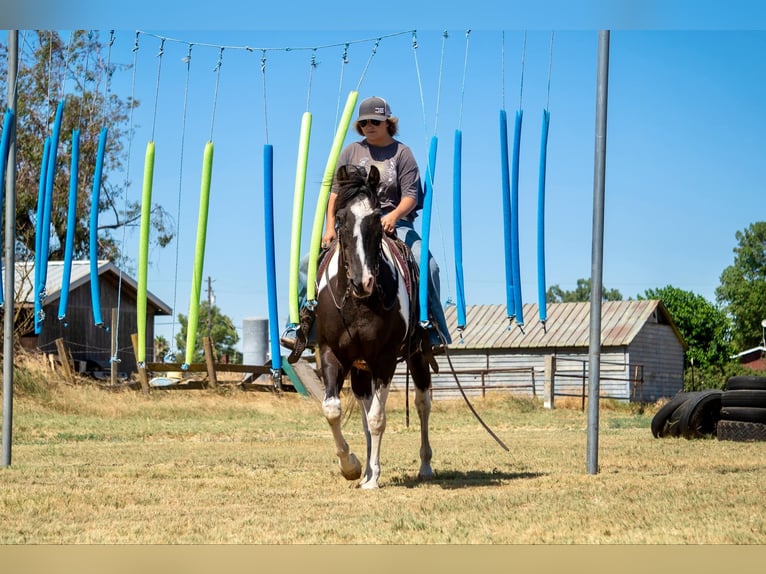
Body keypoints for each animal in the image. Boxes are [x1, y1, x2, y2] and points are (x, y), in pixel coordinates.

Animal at [314, 164, 434, 489]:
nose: (362, 281)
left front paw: (371, 479)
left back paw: (425, 465)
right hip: (359, 367)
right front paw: (353, 467)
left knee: (422, 403)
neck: (358, 303)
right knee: (365, 411)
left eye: (377, 220)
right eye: (340, 220)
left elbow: (378, 419)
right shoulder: (330, 353)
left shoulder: (384, 359)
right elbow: (333, 410)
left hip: (417, 356)